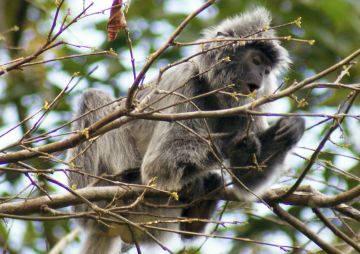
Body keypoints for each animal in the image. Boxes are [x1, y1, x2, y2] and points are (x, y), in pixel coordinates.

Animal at [67, 7, 304, 254]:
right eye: (255, 61)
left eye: (267, 71)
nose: (261, 75)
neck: (212, 93)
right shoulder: (186, 83)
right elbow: (159, 164)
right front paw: (236, 141)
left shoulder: (248, 109)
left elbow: (246, 179)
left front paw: (290, 129)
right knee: (92, 98)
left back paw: (197, 214)